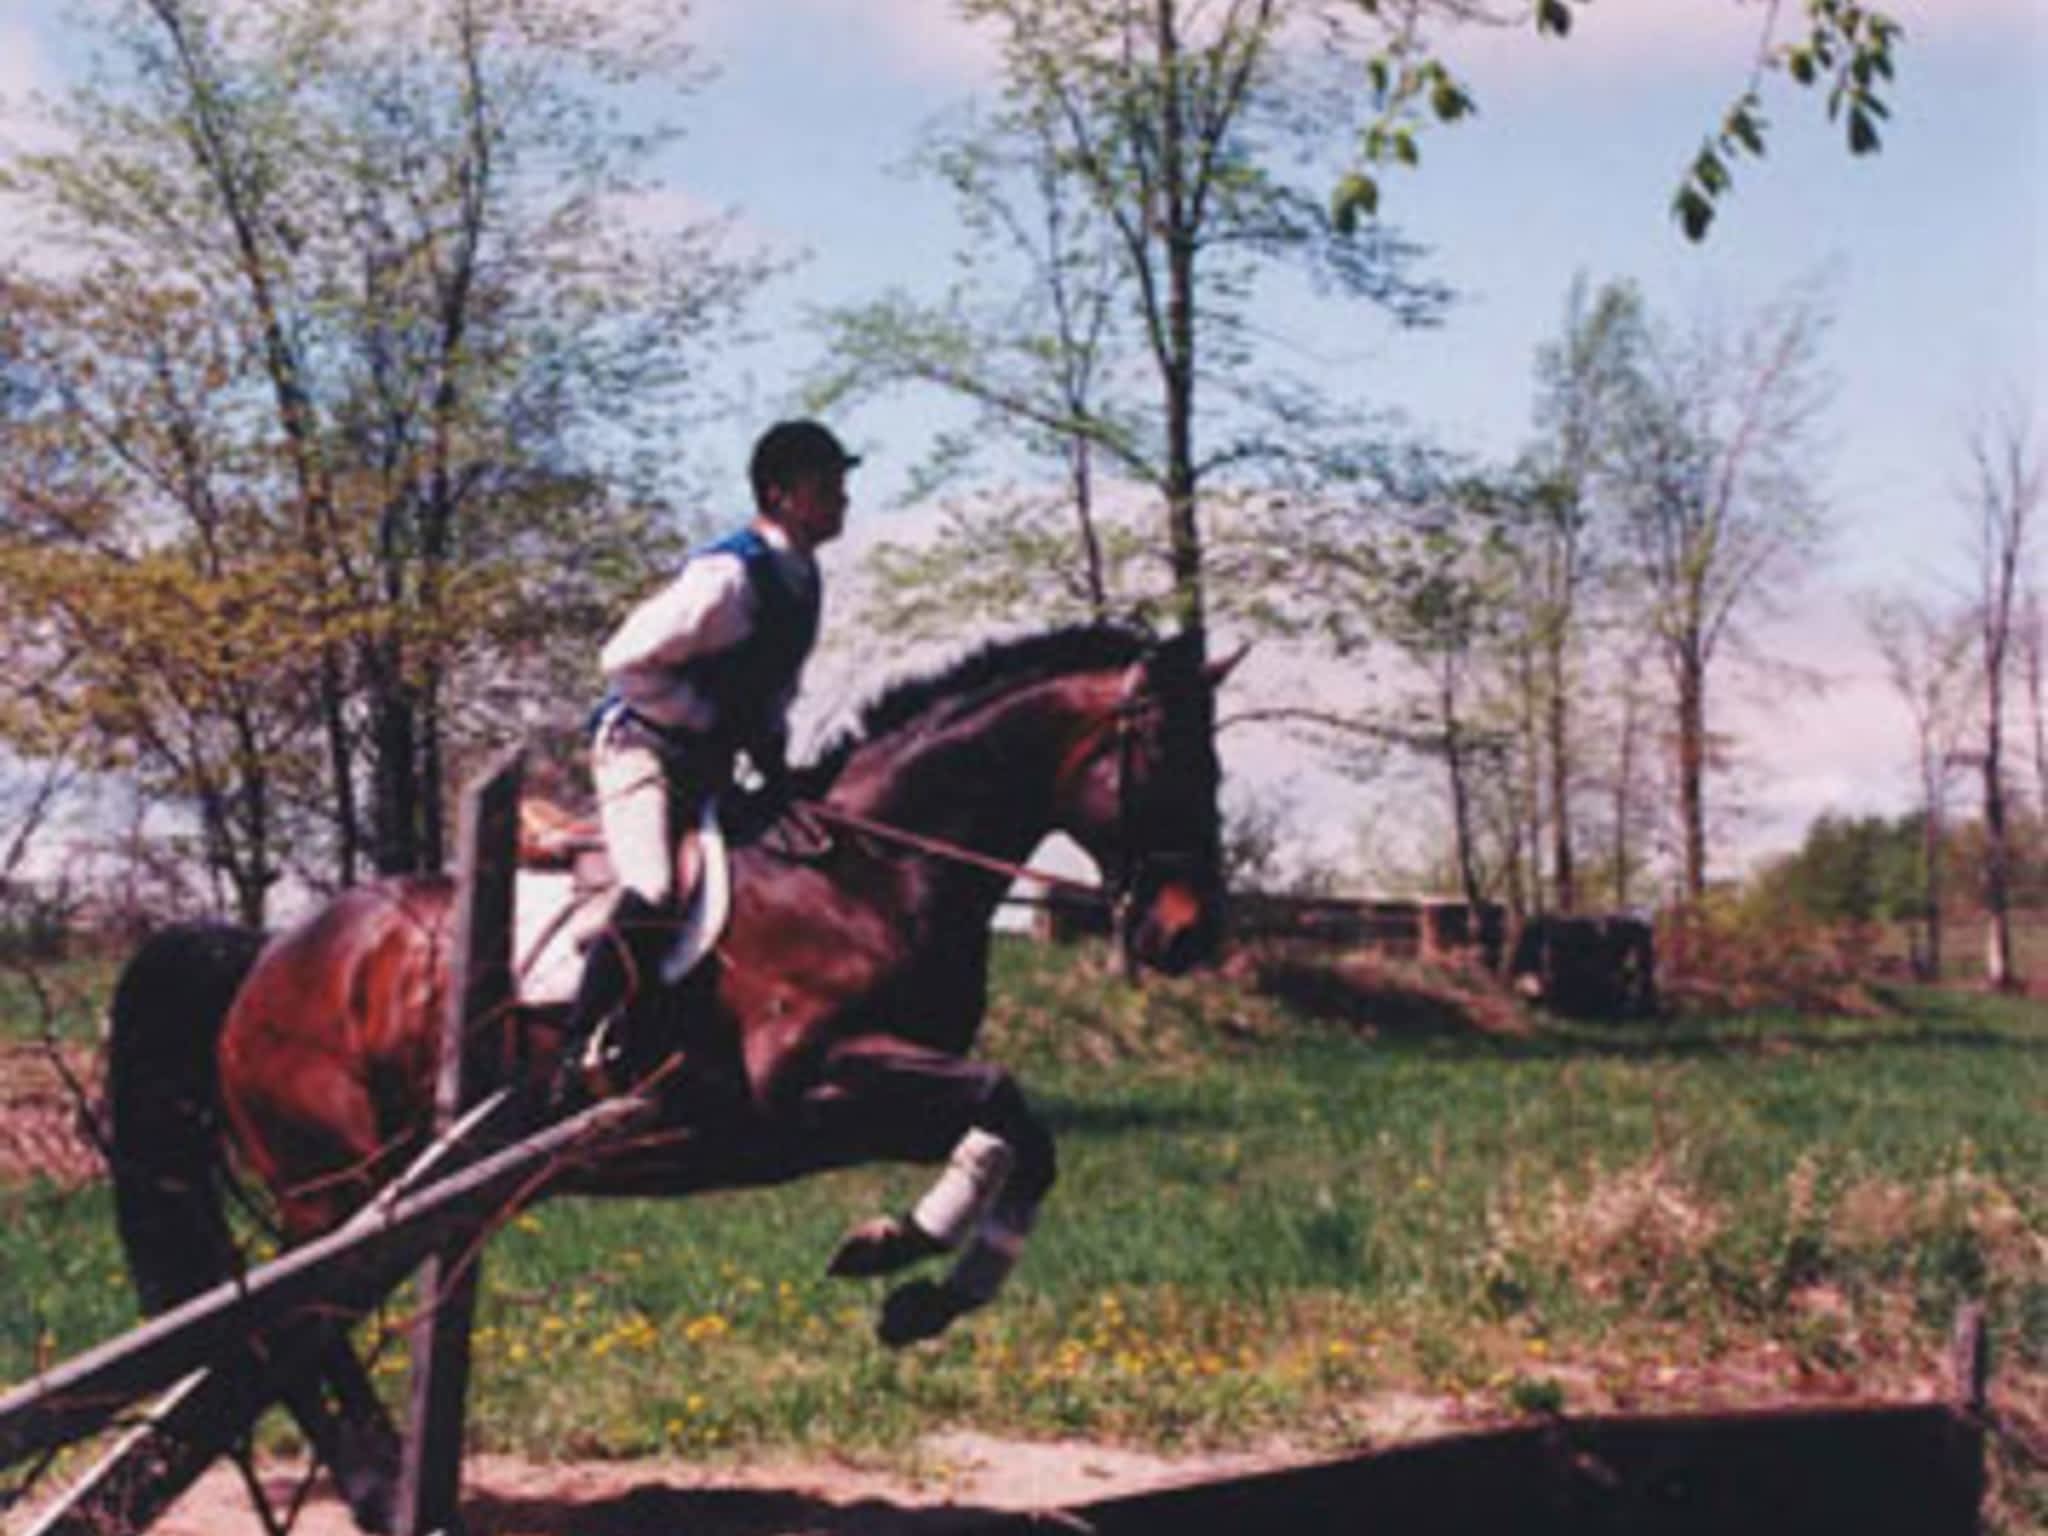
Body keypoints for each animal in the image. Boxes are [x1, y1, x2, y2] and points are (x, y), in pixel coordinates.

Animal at [103, 618, 1228, 1531]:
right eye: (1170, 759)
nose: (1185, 936)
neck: (867, 874)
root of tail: (267, 953)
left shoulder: (874, 1100)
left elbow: (1017, 1135)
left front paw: (917, 1288)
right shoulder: (813, 1089)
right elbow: (1002, 1101)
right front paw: (893, 1255)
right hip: (335, 1193)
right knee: (292, 1332)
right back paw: (382, 1490)